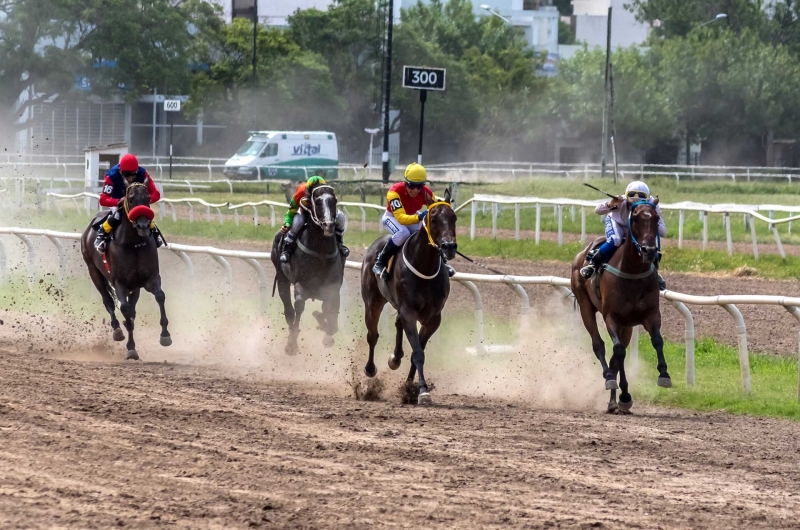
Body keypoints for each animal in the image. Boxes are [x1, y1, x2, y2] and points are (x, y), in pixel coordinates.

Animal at [80, 182, 171, 358]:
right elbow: (125, 309)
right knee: (108, 301)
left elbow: (160, 296)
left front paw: (165, 335)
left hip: (134, 286)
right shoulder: (120, 283)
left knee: (132, 307)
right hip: (93, 271)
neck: (133, 244)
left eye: (147, 198)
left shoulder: (150, 278)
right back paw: (117, 329)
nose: (143, 225)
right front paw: (131, 348)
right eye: (131, 199)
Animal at [272, 184, 344, 352]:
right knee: (289, 311)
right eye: (317, 201)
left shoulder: (332, 289)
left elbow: (331, 318)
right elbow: (299, 306)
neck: (321, 253)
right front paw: (292, 343)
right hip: (282, 278)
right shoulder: (301, 284)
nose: (329, 225)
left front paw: (325, 331)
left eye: (334, 200)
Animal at [362, 190, 456, 404]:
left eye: (454, 218)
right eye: (433, 219)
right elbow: (418, 352)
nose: (449, 246)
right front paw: (422, 391)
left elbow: (417, 352)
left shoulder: (433, 318)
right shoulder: (409, 312)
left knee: (397, 324)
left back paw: (395, 358)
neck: (425, 266)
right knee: (372, 335)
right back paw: (370, 369)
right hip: (372, 301)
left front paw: (410, 388)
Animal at [568, 198, 668, 412]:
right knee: (600, 345)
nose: (649, 251)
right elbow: (617, 350)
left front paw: (664, 374)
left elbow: (657, 341)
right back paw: (609, 380)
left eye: (656, 218)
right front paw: (616, 387)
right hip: (585, 306)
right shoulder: (611, 317)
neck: (632, 273)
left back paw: (617, 400)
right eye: (636, 218)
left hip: (627, 325)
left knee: (617, 356)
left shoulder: (651, 315)